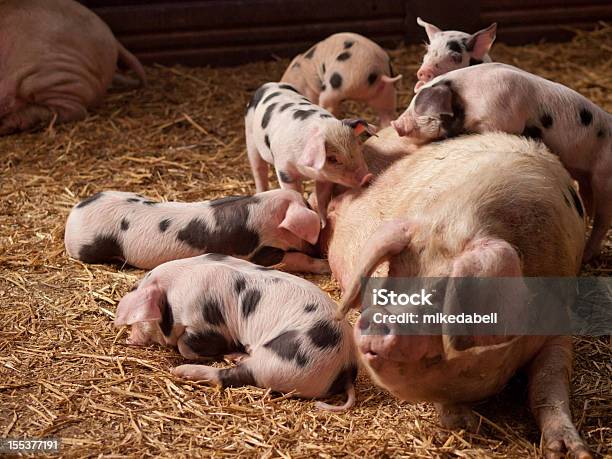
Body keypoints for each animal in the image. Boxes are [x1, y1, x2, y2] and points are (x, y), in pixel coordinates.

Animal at [64, 190, 328, 274]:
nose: (320, 249)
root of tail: (74, 214)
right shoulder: (261, 252)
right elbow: (293, 258)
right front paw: (324, 266)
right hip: (90, 247)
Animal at [245, 84, 372, 225]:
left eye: (358, 146)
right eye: (332, 158)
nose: (367, 176)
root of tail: (268, 85)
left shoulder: (325, 177)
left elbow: (322, 198)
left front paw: (324, 223)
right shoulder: (284, 171)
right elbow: (293, 192)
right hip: (250, 137)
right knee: (258, 169)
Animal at [322, 129, 592, 459]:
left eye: (442, 293)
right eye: (392, 278)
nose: (378, 317)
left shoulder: (558, 328)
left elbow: (549, 382)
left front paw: (567, 450)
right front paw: (470, 424)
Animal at [392, 63, 612, 262]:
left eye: (419, 108)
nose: (396, 124)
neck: (469, 101)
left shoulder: (503, 120)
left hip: (604, 177)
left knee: (603, 219)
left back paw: (587, 256)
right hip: (585, 176)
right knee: (587, 197)